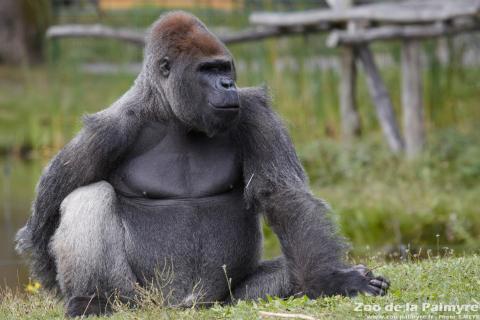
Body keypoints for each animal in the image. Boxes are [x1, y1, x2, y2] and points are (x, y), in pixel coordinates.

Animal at [15, 11, 390, 316]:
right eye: (207, 70)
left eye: (224, 68)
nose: (227, 84)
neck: (169, 111)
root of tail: (187, 305)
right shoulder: (108, 129)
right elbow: (42, 223)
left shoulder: (252, 110)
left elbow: (283, 195)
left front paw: (330, 280)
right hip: (140, 299)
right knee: (88, 195)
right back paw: (92, 300)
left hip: (229, 300)